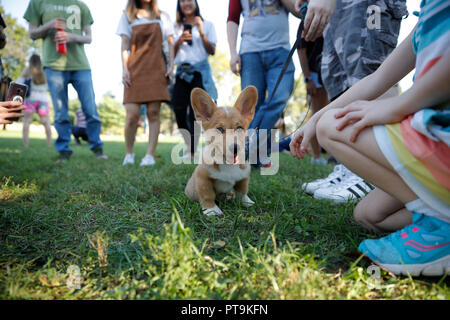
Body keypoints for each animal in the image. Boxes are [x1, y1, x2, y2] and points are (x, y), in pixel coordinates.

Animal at [185, 85, 258, 215]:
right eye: (219, 129)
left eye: (239, 128)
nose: (235, 148)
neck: (227, 164)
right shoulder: (202, 178)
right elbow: (207, 195)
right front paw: (212, 210)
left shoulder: (243, 177)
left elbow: (243, 191)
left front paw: (247, 202)